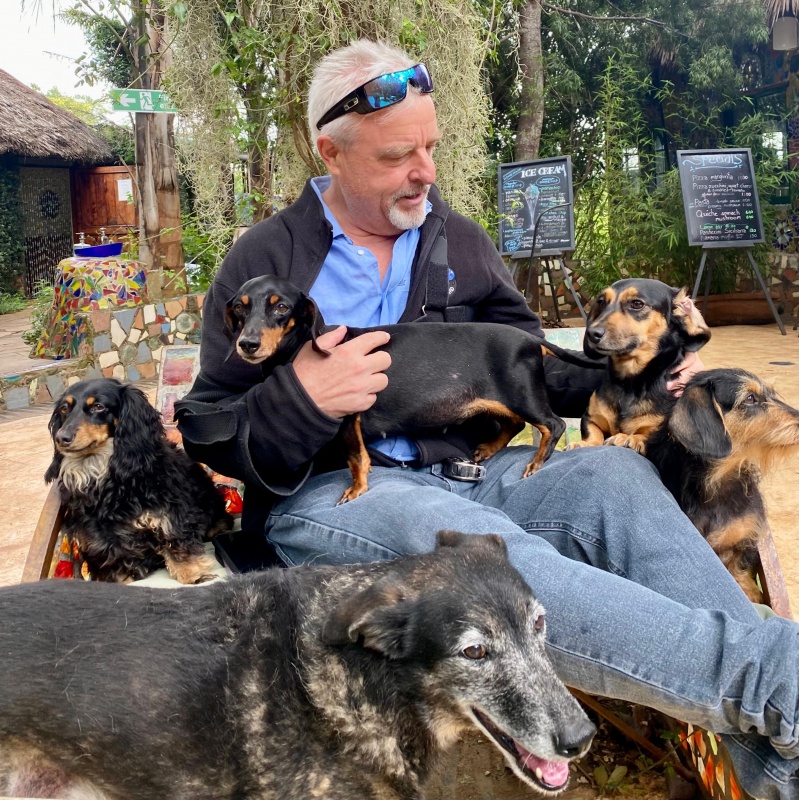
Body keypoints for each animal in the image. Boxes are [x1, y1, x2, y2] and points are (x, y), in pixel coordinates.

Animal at [46, 378, 232, 584]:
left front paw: (195, 575)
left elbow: (179, 548)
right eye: (64, 408)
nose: (61, 438)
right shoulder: (103, 544)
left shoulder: (169, 517)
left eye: (98, 406)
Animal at [224, 275, 603, 504]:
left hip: (522, 394)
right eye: (240, 307)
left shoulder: (349, 416)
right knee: (515, 424)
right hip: (500, 400)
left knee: (551, 425)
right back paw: (487, 449)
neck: (303, 344)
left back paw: (537, 463)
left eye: (281, 307)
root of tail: (531, 340)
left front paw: (356, 489)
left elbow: (356, 458)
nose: (247, 345)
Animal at [567, 278, 711, 456]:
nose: (592, 334)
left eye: (636, 304)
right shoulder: (590, 418)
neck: (629, 382)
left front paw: (628, 438)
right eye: (601, 302)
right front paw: (584, 444)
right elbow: (593, 433)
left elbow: (646, 434)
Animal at [646, 368, 799, 602]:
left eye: (771, 394)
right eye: (750, 398)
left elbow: (739, 563)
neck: (718, 484)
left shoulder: (747, 536)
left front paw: (749, 591)